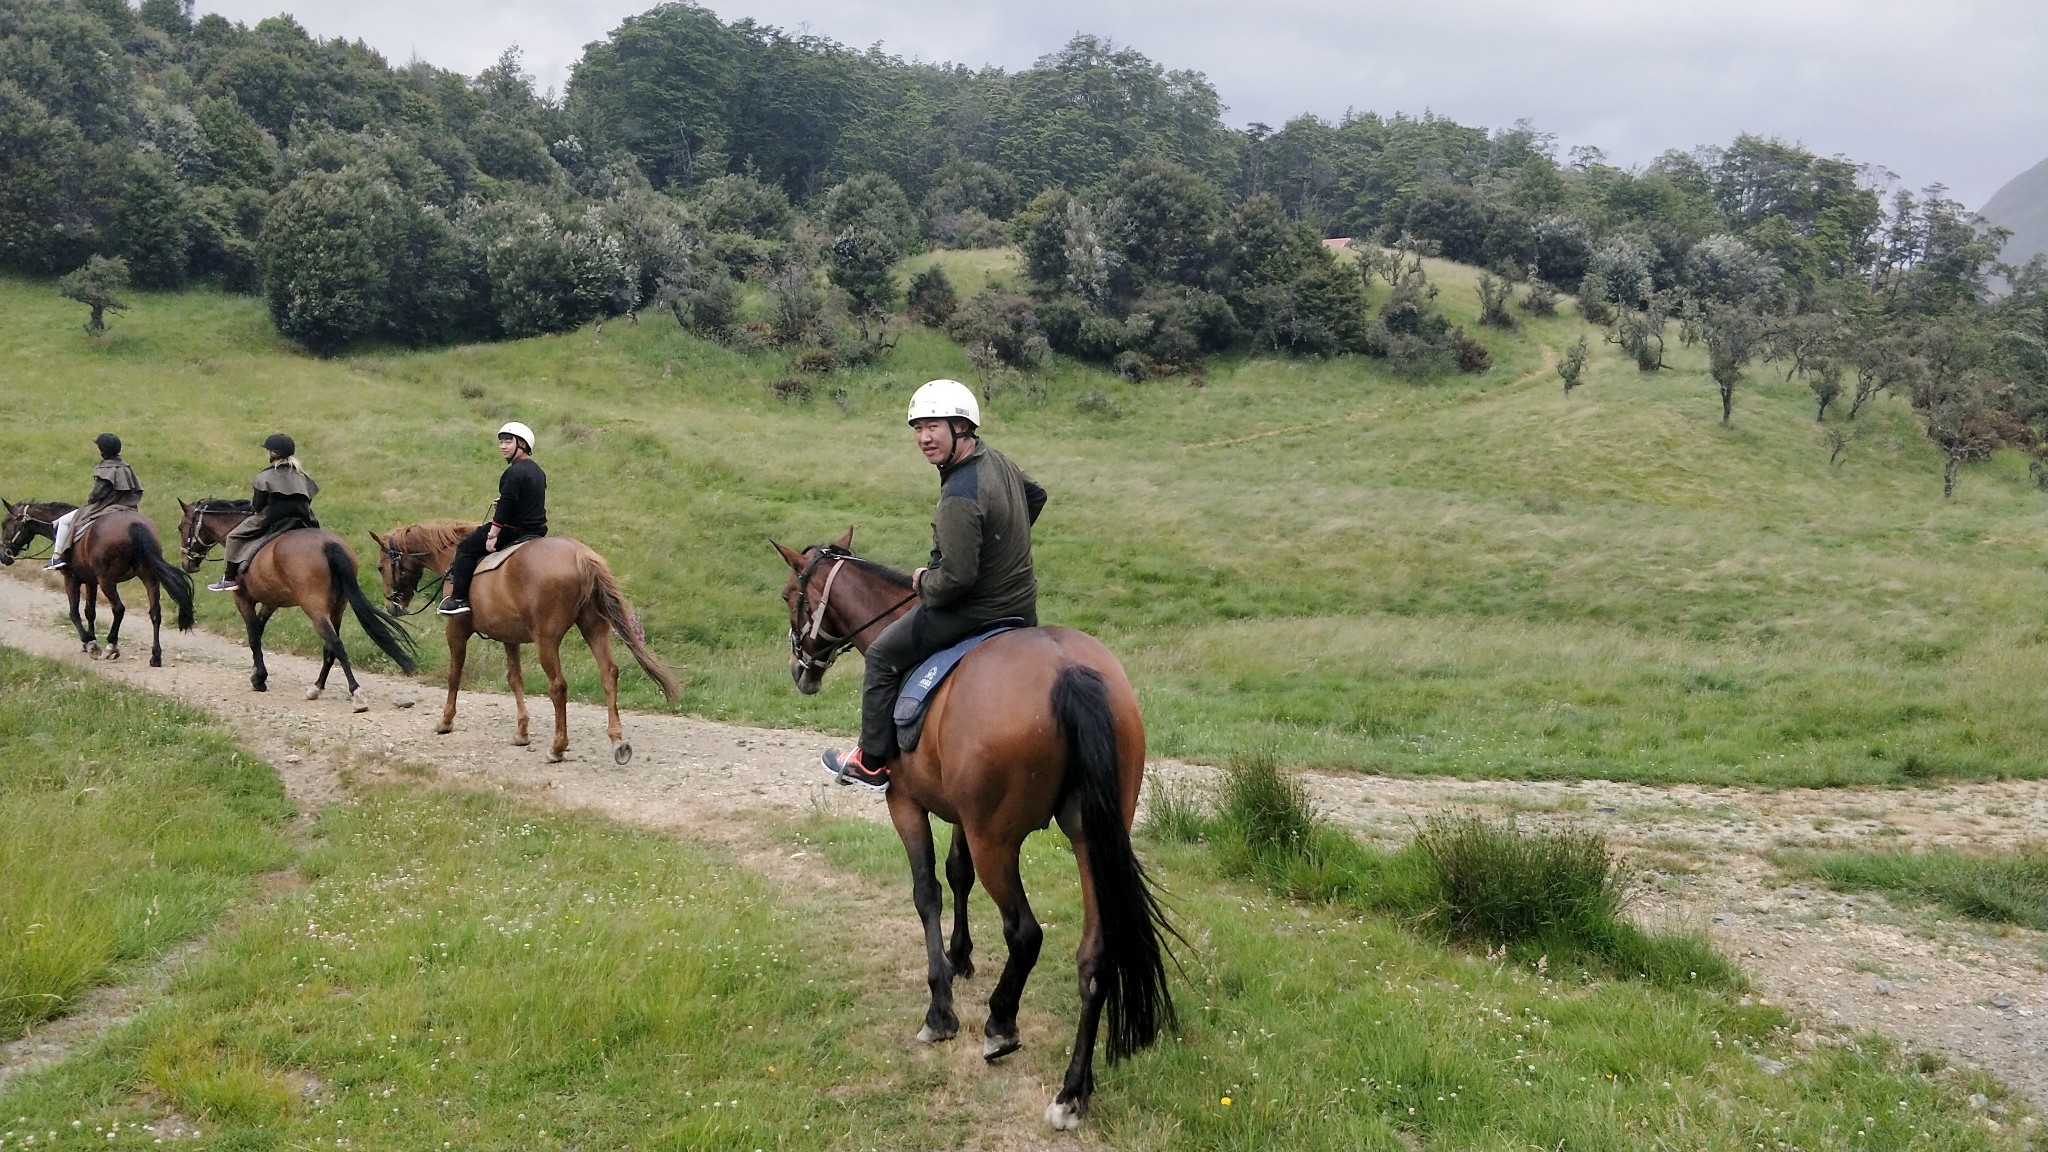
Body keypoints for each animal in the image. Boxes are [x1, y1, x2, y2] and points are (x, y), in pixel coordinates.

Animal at [2, 496, 192, 664]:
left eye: (5, 524)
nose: (3, 556)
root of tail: (135, 525)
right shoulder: (91, 581)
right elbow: (90, 612)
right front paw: (89, 640)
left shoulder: (71, 579)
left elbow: (74, 613)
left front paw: (89, 643)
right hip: (149, 578)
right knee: (155, 613)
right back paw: (155, 656)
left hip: (107, 581)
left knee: (118, 609)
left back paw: (111, 646)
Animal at [182, 496, 421, 705]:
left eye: (181, 527)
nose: (187, 564)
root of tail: (328, 544)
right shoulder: (271, 602)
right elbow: (258, 630)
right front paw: (258, 674)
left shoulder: (242, 599)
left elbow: (253, 636)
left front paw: (259, 678)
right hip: (337, 608)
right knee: (330, 647)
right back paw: (317, 688)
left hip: (315, 609)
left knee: (335, 643)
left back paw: (356, 693)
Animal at [372, 520, 684, 762]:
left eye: (380, 567)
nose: (392, 606)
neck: (451, 556)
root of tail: (580, 555)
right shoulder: (510, 639)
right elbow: (515, 679)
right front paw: (521, 732)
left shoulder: (457, 631)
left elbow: (454, 675)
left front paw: (445, 721)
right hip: (594, 628)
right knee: (608, 673)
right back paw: (617, 740)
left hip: (547, 640)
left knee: (558, 686)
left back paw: (557, 747)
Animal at [770, 532, 1187, 1131]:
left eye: (789, 596)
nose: (799, 668)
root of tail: (1070, 671)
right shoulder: (962, 816)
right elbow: (957, 873)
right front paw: (961, 955)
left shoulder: (907, 804)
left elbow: (928, 892)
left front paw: (940, 1008)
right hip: (1089, 839)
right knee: (1095, 957)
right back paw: (1072, 1092)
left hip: (999, 841)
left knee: (1026, 934)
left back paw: (1000, 1025)